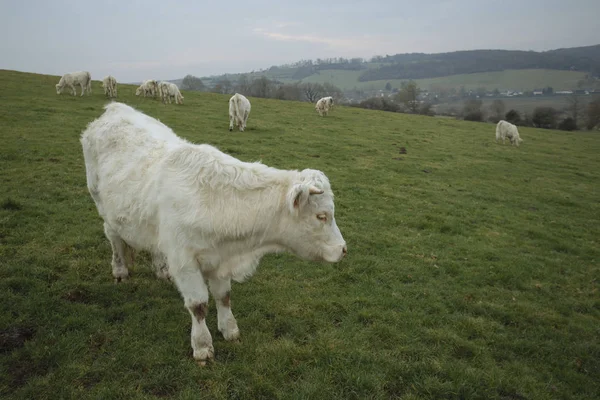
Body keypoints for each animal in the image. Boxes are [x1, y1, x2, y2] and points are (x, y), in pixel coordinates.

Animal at [79, 102, 346, 366]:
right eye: (321, 216)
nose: (343, 249)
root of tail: (115, 108)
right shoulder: (185, 261)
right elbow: (198, 305)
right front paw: (202, 345)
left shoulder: (221, 257)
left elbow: (223, 296)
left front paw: (230, 329)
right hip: (104, 208)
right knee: (114, 240)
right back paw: (120, 271)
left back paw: (161, 270)